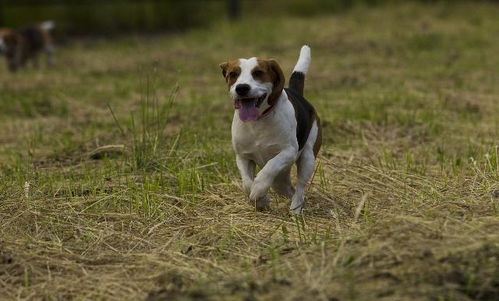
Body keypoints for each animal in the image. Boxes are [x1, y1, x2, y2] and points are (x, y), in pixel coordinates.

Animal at [220, 45, 322, 213]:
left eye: (258, 73)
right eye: (233, 74)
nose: (241, 88)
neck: (258, 121)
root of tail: (297, 93)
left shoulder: (288, 152)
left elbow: (269, 167)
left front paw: (258, 189)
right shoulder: (242, 157)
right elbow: (246, 183)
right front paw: (261, 200)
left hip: (307, 157)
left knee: (300, 187)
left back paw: (295, 208)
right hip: (280, 180)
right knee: (287, 189)